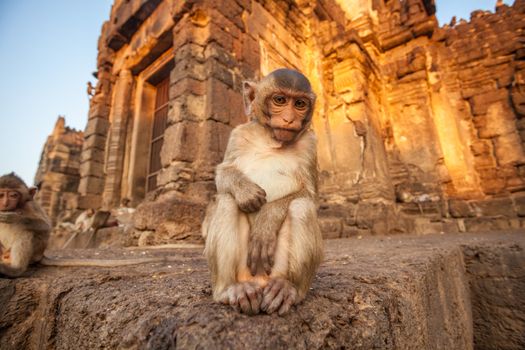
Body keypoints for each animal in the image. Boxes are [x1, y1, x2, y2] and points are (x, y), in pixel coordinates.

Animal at [202, 67, 322, 314]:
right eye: (280, 100)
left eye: (299, 104)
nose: (289, 118)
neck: (271, 140)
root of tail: (260, 281)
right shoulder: (238, 134)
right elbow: (223, 172)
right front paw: (246, 191)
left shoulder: (310, 144)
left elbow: (310, 196)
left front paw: (266, 223)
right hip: (243, 270)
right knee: (227, 201)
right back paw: (231, 290)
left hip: (276, 269)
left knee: (301, 206)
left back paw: (287, 288)